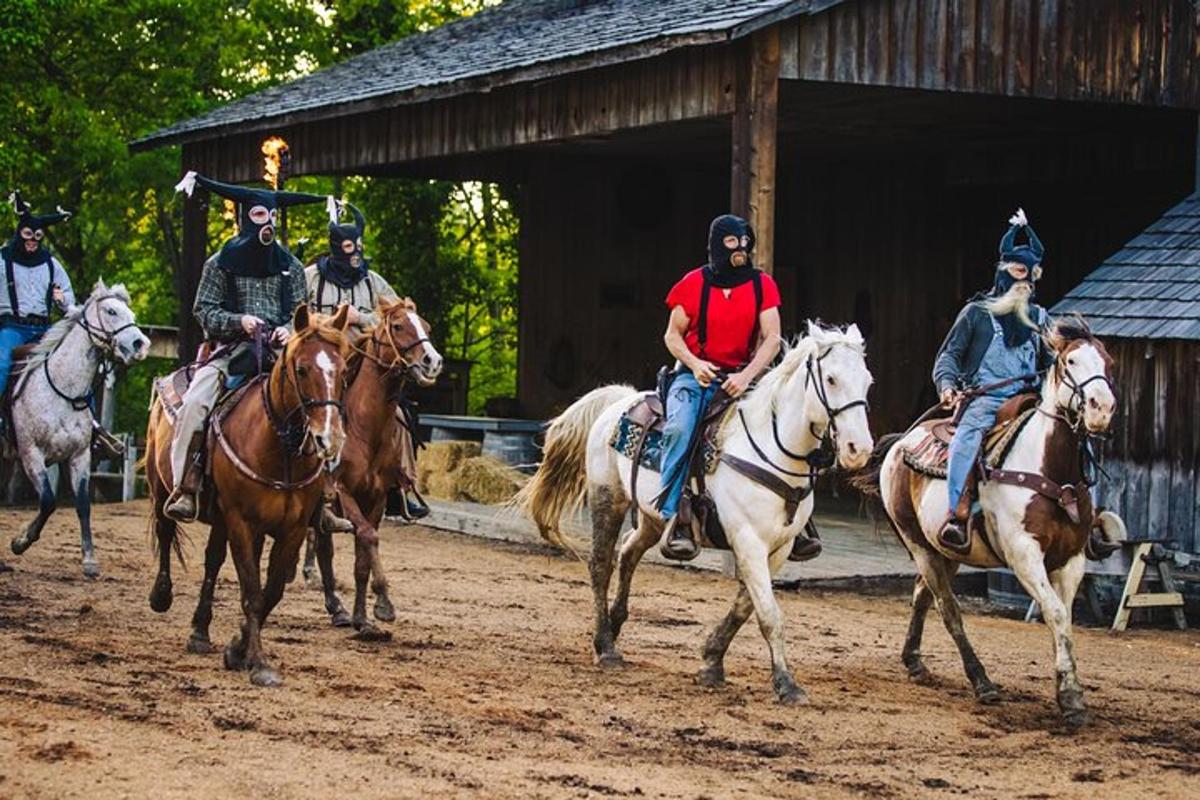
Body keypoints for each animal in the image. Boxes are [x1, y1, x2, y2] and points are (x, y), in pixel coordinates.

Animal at [7, 281, 150, 575]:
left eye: (130, 312)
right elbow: (48, 501)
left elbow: (83, 505)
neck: (62, 390)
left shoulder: (79, 456)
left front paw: (90, 559)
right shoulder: (31, 454)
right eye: (111, 311)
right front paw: (21, 541)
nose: (141, 344)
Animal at [144, 307, 350, 690]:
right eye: (302, 369)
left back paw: (200, 630)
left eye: (343, 372)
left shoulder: (292, 528)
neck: (277, 449)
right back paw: (161, 595)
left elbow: (271, 591)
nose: (328, 438)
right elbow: (253, 592)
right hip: (160, 486)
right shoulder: (240, 521)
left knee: (212, 561)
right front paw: (258, 663)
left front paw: (237, 649)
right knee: (165, 533)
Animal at [307, 297, 444, 633]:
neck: (365, 428)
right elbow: (368, 536)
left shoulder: (378, 496)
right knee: (322, 546)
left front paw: (363, 618)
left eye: (426, 325)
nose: (433, 361)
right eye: (398, 326)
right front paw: (383, 603)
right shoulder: (343, 492)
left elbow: (363, 557)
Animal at [516, 321, 873, 705]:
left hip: (654, 517)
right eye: (832, 379)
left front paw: (712, 662)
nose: (859, 449)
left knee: (628, 552)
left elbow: (746, 606)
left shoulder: (781, 547)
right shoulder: (748, 540)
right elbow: (768, 613)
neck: (770, 448)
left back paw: (615, 621)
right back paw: (606, 646)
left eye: (867, 381)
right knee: (601, 565)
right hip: (607, 497)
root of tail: (621, 400)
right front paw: (786, 684)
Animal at [854, 316, 1113, 724]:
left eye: (1108, 362)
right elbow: (1055, 612)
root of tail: (901, 443)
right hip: (918, 543)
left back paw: (914, 661)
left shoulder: (1072, 559)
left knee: (921, 594)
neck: (1052, 470)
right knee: (947, 609)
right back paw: (982, 681)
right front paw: (1071, 697)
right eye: (1070, 361)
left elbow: (1065, 618)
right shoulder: (1024, 554)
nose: (1101, 408)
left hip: (945, 551)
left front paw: (1068, 690)